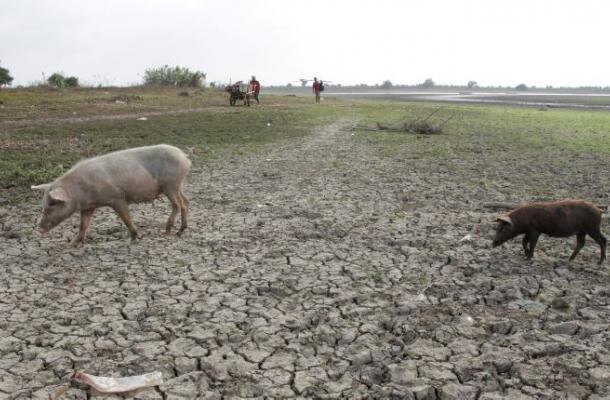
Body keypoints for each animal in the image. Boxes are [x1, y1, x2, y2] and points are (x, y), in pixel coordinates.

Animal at [30, 145, 191, 244]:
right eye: (44, 203)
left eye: (52, 203)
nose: (39, 227)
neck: (80, 190)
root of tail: (184, 156)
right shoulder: (88, 206)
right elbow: (83, 225)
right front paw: (74, 243)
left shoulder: (117, 197)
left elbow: (126, 218)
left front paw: (134, 237)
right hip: (178, 185)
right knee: (186, 202)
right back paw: (180, 231)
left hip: (170, 185)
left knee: (177, 204)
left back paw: (167, 231)